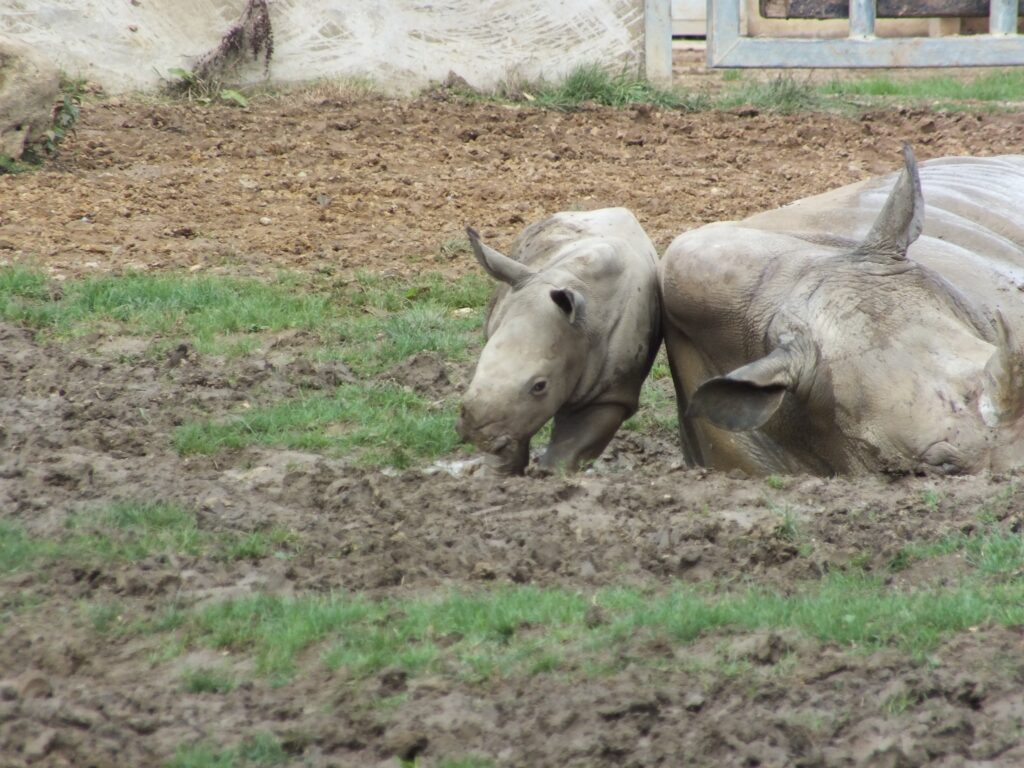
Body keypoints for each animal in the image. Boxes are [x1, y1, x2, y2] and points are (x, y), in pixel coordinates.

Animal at [457, 208, 661, 475]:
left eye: (540, 386)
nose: (474, 434)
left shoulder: (610, 391)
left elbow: (573, 444)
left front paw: (551, 476)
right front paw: (492, 475)